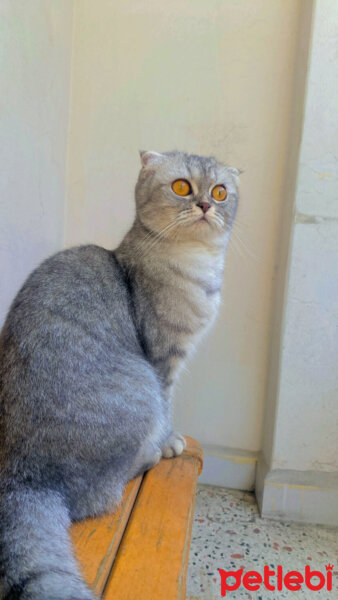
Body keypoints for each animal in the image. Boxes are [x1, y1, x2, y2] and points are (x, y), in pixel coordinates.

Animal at [0, 151, 239, 600]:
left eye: (220, 192)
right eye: (182, 186)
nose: (205, 205)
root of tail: (20, 474)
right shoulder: (163, 360)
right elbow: (168, 405)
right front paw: (169, 441)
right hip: (139, 389)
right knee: (97, 496)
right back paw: (148, 456)